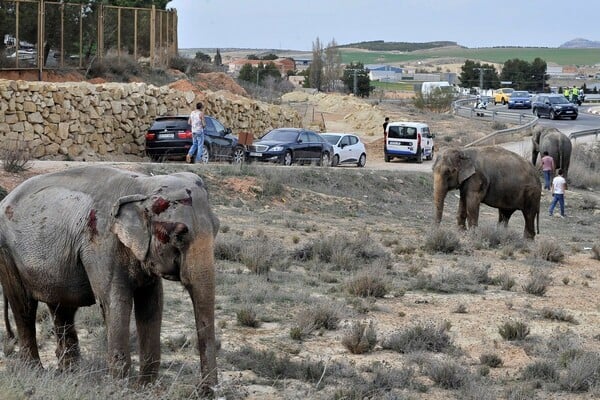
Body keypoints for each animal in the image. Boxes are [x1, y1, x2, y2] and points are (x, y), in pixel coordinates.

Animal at [0, 165, 220, 390]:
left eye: (217, 228)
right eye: (179, 235)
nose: (206, 391)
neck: (142, 187)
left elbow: (152, 304)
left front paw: (145, 388)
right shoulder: (102, 243)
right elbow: (115, 302)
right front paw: (120, 389)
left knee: (62, 308)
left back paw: (70, 375)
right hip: (6, 253)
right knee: (24, 307)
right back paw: (35, 371)